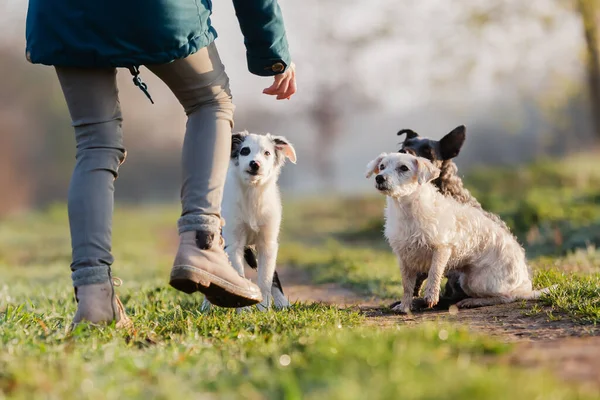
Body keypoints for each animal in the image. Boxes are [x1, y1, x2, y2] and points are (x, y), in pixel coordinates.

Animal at [202, 131, 296, 312]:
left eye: (267, 153)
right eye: (245, 151)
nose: (255, 164)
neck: (253, 193)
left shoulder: (268, 243)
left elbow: (266, 279)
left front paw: (264, 309)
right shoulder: (234, 243)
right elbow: (238, 276)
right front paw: (244, 309)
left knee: (273, 275)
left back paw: (282, 302)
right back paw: (206, 306)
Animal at [364, 152, 552, 310]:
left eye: (404, 168)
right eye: (382, 166)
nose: (379, 178)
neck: (407, 209)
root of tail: (525, 286)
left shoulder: (442, 248)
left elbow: (434, 273)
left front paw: (430, 297)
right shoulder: (404, 258)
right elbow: (407, 286)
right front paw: (404, 307)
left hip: (476, 281)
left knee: (507, 297)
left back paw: (473, 301)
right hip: (466, 280)